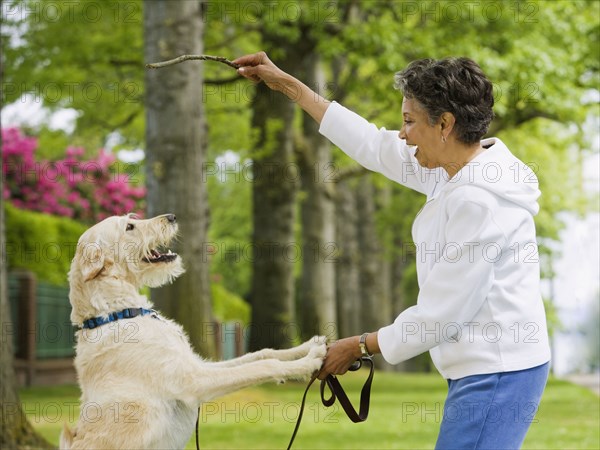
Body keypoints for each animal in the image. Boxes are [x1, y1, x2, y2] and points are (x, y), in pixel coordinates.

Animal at [59, 214, 324, 450]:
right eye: (129, 227)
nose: (172, 217)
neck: (118, 312)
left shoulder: (196, 364)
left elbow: (262, 354)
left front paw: (307, 347)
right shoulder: (193, 381)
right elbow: (264, 365)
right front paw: (308, 362)